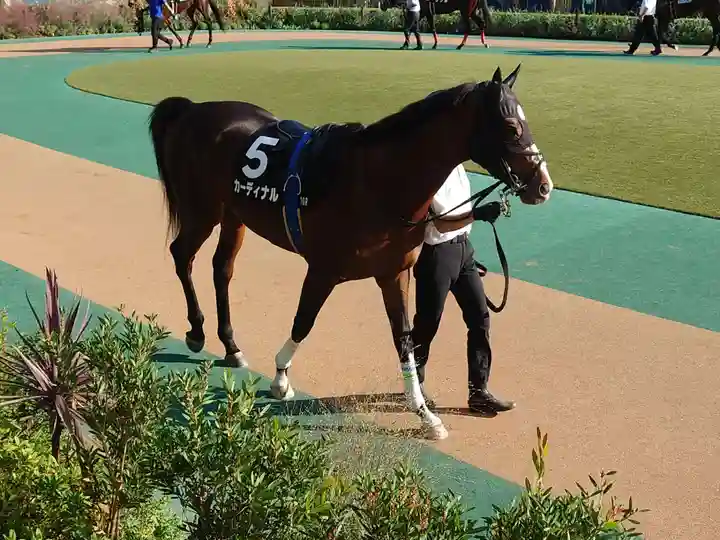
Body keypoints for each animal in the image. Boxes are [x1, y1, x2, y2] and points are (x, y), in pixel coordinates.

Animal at [147, 64, 553, 440]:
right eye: (512, 127)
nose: (544, 185)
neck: (377, 183)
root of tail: (192, 109)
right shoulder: (323, 270)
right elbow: (304, 321)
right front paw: (280, 378)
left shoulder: (394, 273)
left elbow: (405, 340)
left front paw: (425, 414)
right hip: (203, 210)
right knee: (181, 254)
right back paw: (197, 331)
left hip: (233, 216)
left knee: (222, 269)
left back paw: (230, 345)